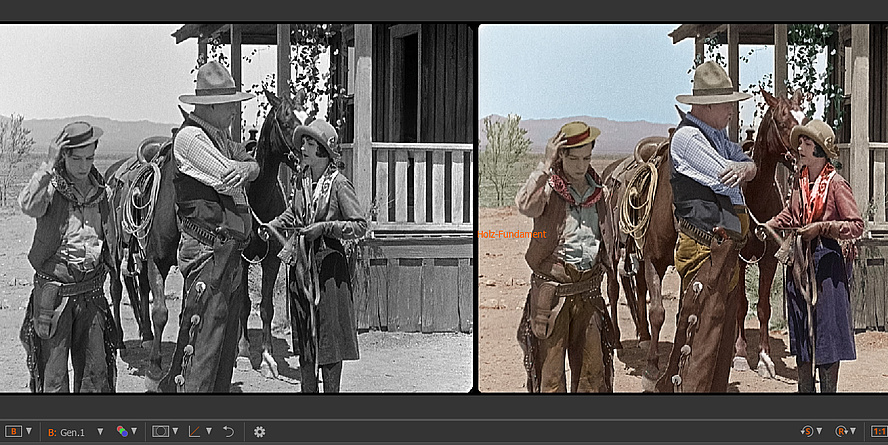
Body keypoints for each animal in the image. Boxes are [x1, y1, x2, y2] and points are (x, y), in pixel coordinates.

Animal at [104, 90, 304, 388]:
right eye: (286, 120)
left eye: (310, 117)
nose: (311, 152)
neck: (259, 195)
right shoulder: (160, 260)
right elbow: (162, 311)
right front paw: (155, 370)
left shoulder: (270, 259)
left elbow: (263, 307)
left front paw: (267, 359)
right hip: (117, 254)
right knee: (118, 290)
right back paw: (121, 343)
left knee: (140, 288)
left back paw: (146, 336)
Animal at [728, 88, 804, 376]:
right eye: (782, 122)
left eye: (805, 118)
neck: (754, 194)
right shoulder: (738, 260)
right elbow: (741, 305)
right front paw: (739, 355)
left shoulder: (770, 260)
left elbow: (763, 308)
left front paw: (764, 358)